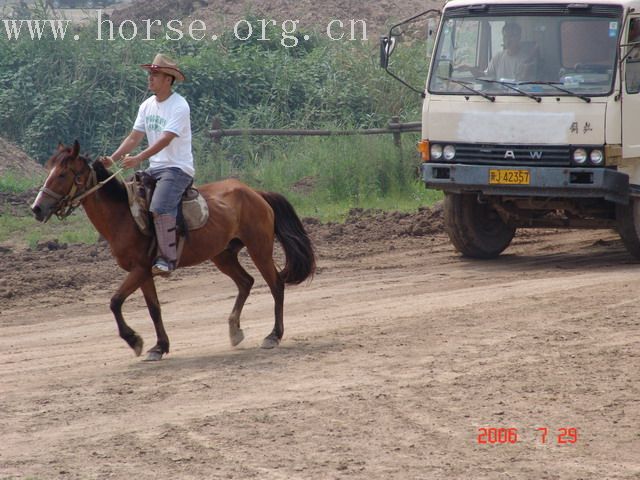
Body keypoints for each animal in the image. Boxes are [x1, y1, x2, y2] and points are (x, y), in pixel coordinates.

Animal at [31, 142, 316, 360]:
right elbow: (153, 308)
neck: (124, 216)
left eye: (62, 174)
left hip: (260, 249)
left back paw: (273, 335)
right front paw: (159, 347)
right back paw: (235, 330)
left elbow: (115, 301)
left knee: (276, 285)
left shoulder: (139, 269)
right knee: (246, 282)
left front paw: (134, 340)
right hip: (223, 255)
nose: (37, 208)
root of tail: (255, 192)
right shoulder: (144, 273)